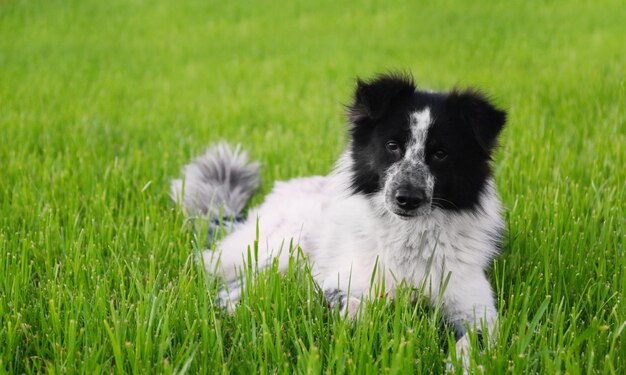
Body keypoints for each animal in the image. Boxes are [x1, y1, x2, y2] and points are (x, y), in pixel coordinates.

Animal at [172, 72, 508, 364]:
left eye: (440, 154)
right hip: (283, 247)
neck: (407, 238)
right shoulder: (339, 282)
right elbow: (361, 306)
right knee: (235, 285)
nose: (407, 199)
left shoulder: (477, 309)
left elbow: (475, 341)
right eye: (392, 146)